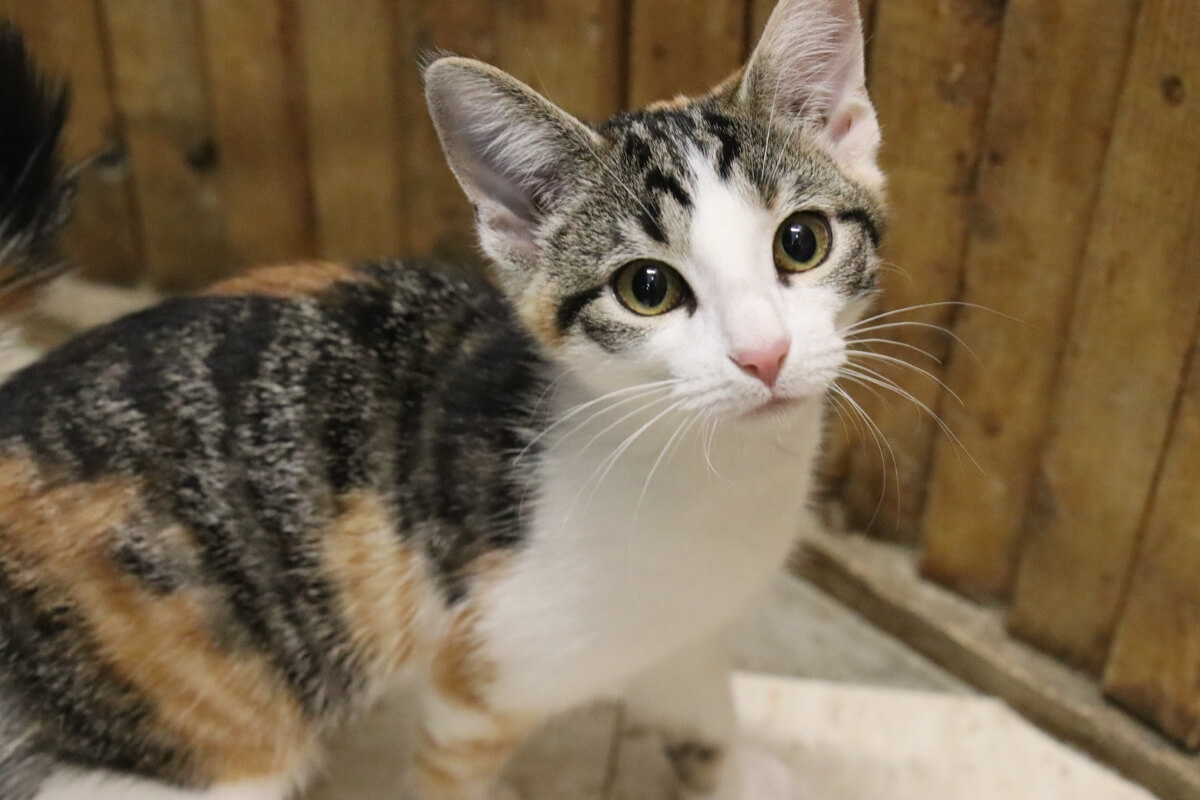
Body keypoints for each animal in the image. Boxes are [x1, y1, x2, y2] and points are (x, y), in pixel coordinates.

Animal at [0, 1, 883, 800]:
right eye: (648, 288)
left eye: (801, 241)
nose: (764, 354)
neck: (716, 474)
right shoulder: (482, 680)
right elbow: (454, 769)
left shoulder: (684, 629)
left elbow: (700, 705)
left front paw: (729, 771)